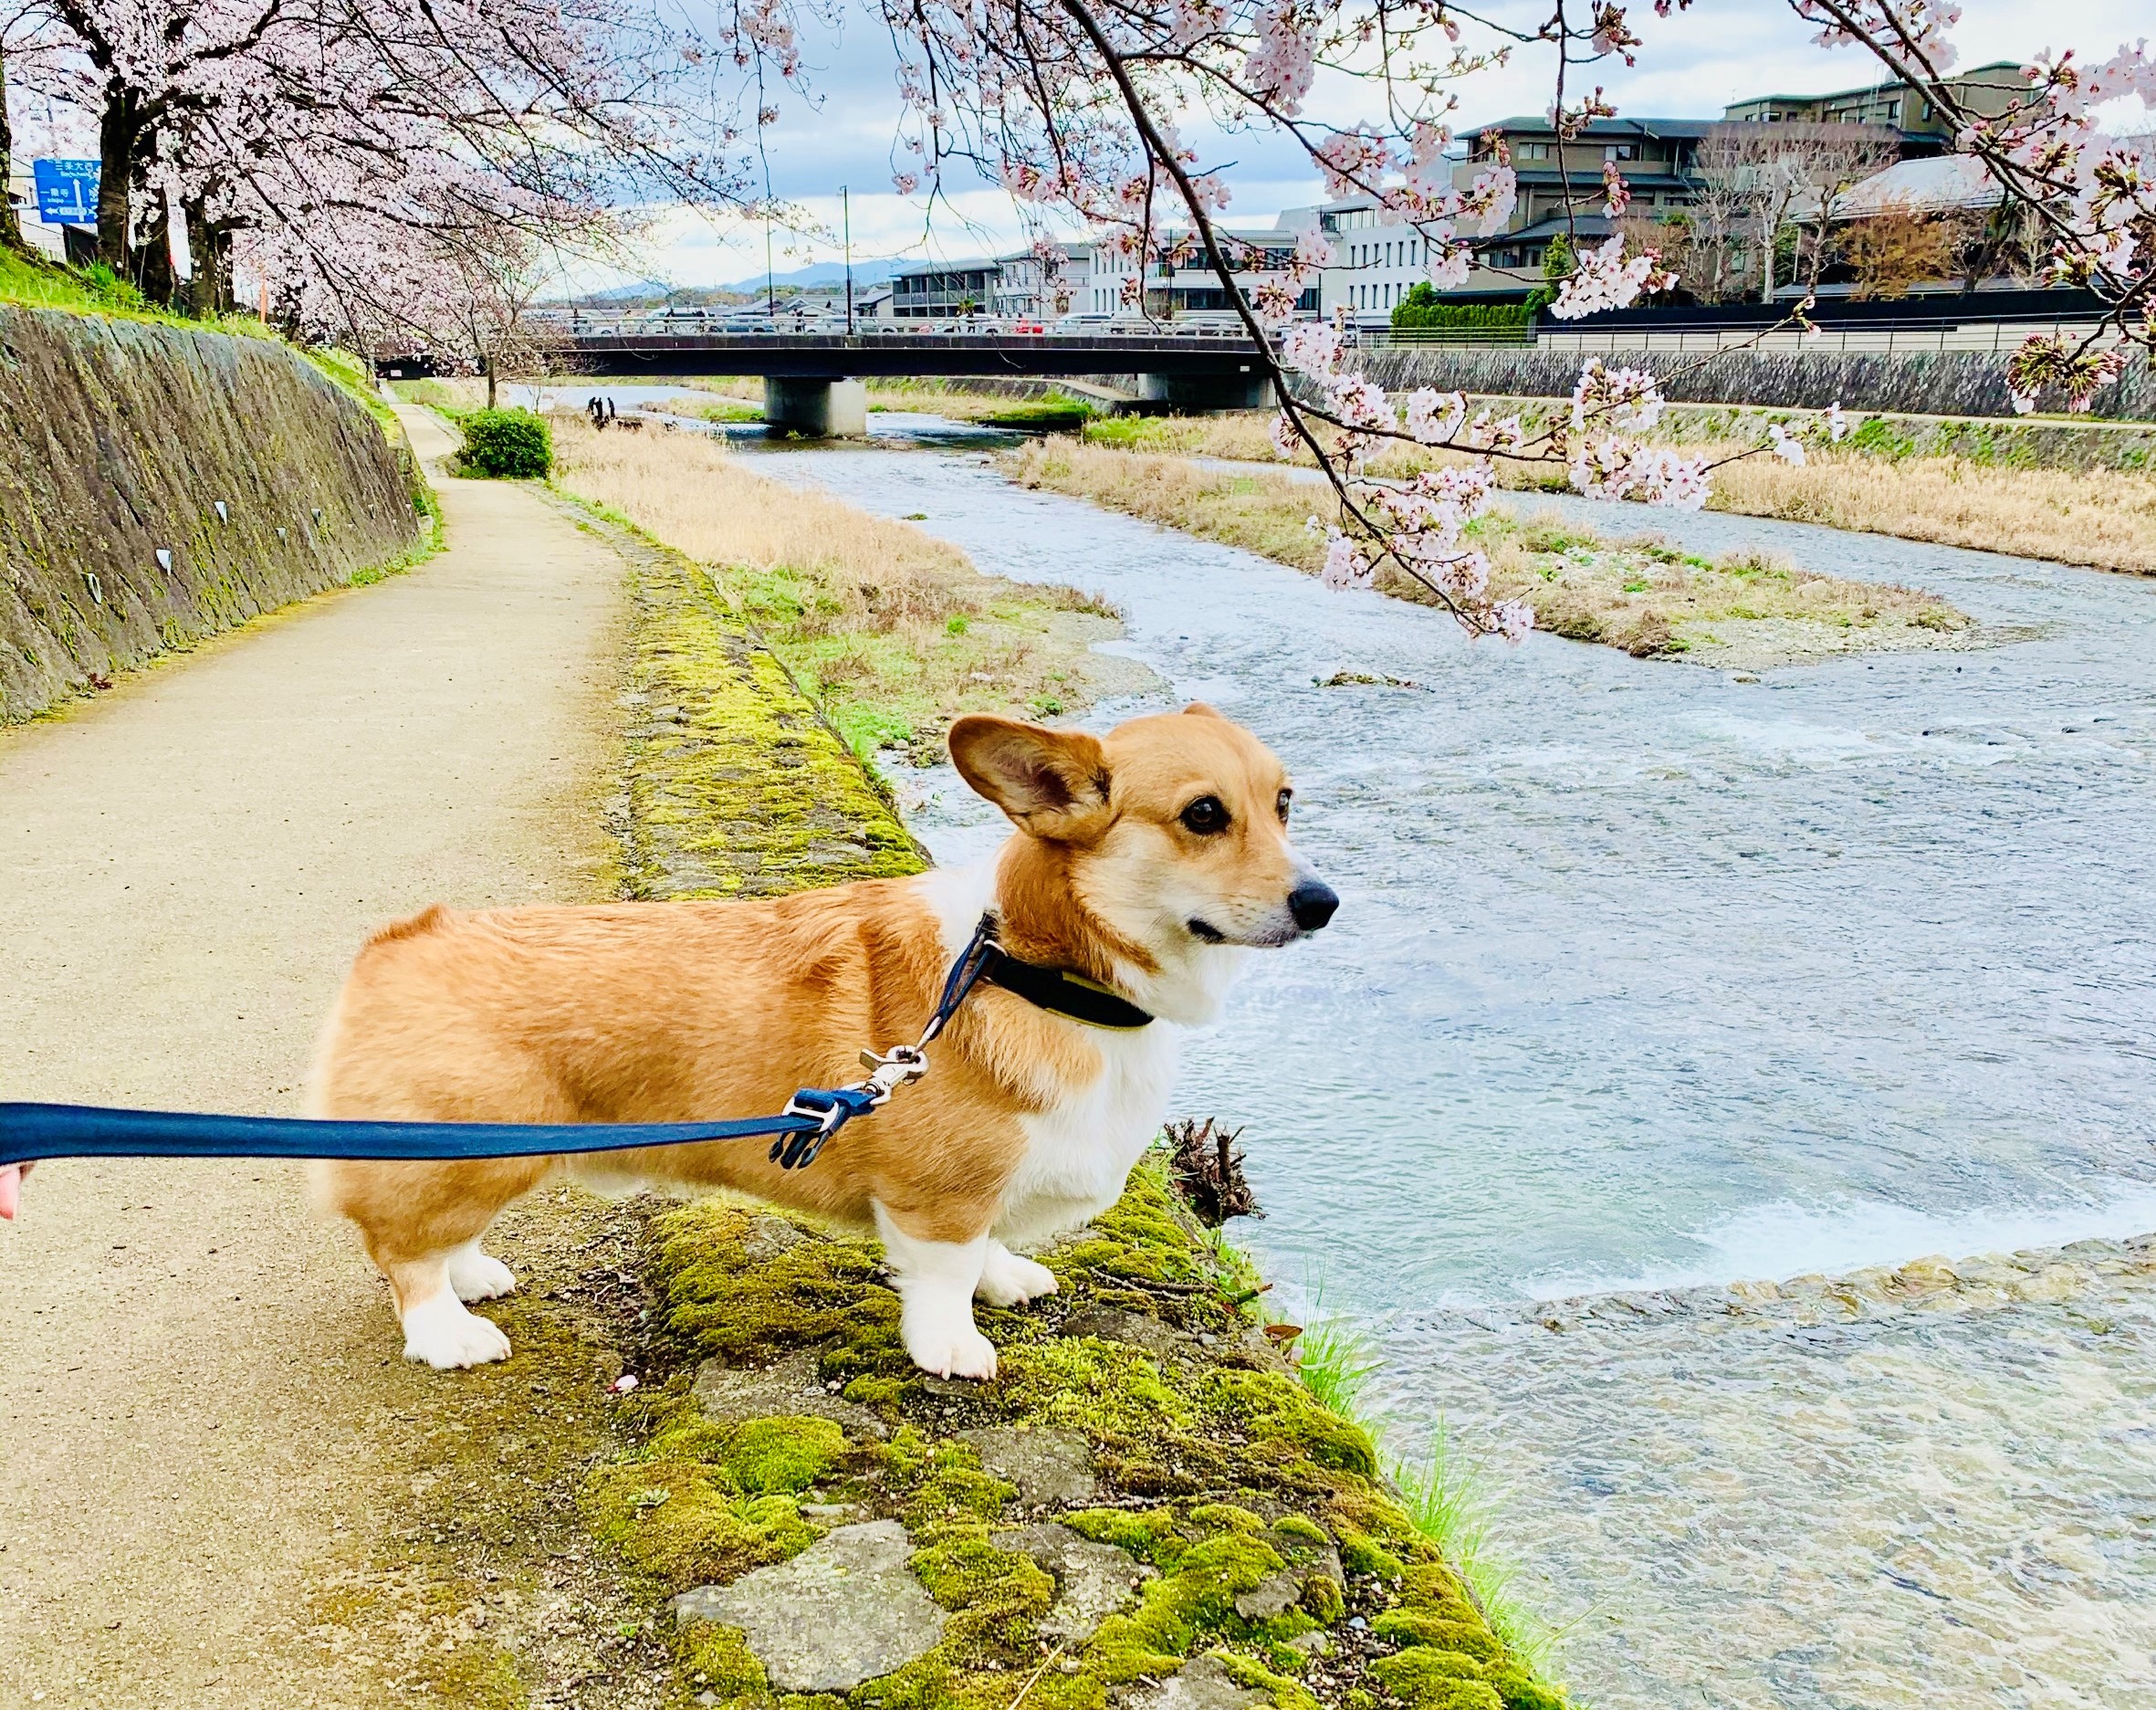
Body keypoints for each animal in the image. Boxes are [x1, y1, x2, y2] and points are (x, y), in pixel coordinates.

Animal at [312, 698, 1336, 1380]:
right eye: (1203, 813)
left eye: (1284, 801)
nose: (1322, 903)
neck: (1035, 970)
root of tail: (396, 943)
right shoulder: (937, 1200)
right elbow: (945, 1273)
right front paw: (954, 1346)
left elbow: (989, 1251)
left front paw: (1009, 1279)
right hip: (473, 1150)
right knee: (404, 1254)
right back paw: (447, 1333)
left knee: (437, 1238)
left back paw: (474, 1277)